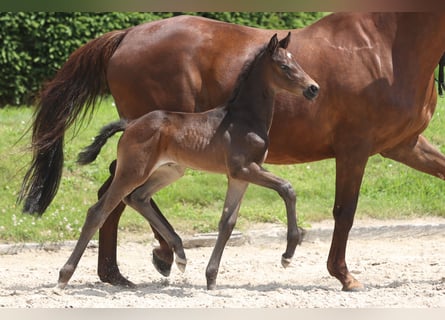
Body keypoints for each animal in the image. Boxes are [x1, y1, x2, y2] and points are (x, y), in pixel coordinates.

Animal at [56, 33, 320, 290]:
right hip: (132, 171)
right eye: (284, 66)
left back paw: (180, 255)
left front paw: (211, 278)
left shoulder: (239, 176)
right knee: (98, 211)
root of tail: (130, 124)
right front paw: (288, 254)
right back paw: (63, 277)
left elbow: (227, 221)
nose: (313, 88)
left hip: (169, 171)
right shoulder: (245, 168)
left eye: (297, 62)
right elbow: (287, 188)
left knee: (138, 198)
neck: (244, 118)